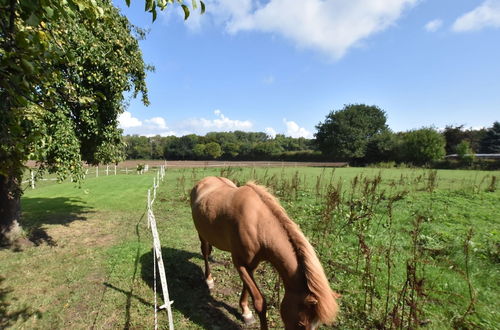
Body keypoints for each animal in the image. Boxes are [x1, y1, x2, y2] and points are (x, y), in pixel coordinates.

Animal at [191, 178, 340, 330]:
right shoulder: (240, 264)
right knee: (205, 253)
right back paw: (209, 280)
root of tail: (205, 180)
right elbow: (259, 302)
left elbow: (246, 288)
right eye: (301, 323)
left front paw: (245, 311)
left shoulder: (252, 265)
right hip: (202, 234)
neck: (257, 224)